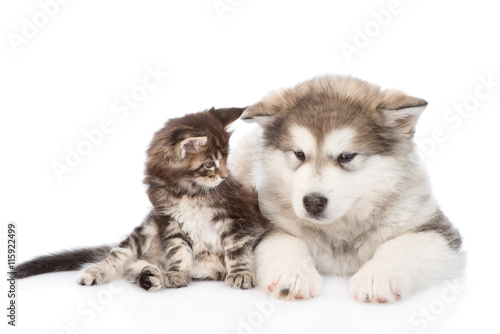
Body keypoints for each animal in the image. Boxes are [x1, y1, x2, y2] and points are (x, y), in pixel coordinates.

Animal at [14, 107, 266, 290]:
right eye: (209, 164)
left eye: (225, 159)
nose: (224, 176)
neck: (187, 192)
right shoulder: (169, 221)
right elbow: (178, 250)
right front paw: (176, 273)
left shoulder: (236, 216)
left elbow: (237, 249)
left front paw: (241, 274)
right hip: (146, 229)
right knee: (120, 256)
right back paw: (129, 274)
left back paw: (150, 275)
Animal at [230, 75, 464, 302]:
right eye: (299, 154)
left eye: (347, 156)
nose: (313, 202)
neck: (341, 228)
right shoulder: (264, 220)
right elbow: (284, 241)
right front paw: (293, 273)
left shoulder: (437, 229)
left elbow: (402, 246)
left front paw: (377, 276)